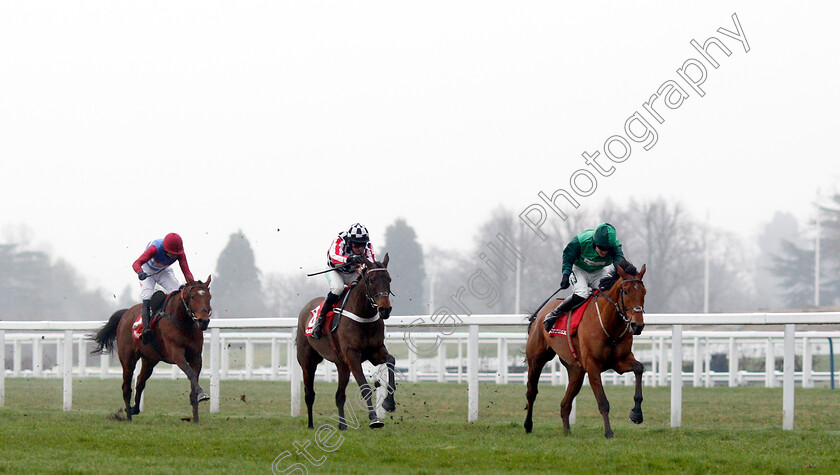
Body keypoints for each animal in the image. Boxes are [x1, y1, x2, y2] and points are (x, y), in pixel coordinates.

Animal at [91, 278, 213, 422]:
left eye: (209, 297)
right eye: (193, 296)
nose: (203, 321)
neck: (182, 321)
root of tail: (126, 313)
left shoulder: (196, 357)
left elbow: (194, 380)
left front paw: (196, 418)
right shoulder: (177, 354)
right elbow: (191, 374)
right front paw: (202, 395)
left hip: (150, 360)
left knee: (140, 381)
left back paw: (134, 408)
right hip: (128, 359)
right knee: (126, 387)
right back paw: (129, 416)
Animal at [296, 256, 398, 432]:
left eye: (389, 279)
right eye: (371, 280)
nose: (385, 309)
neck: (363, 316)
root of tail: (306, 308)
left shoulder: (375, 351)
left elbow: (391, 360)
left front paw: (389, 403)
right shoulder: (352, 355)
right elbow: (365, 387)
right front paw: (374, 419)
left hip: (341, 365)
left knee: (339, 396)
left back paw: (342, 425)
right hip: (308, 361)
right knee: (309, 394)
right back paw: (310, 425)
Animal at [524, 264, 648, 438]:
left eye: (644, 292)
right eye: (625, 291)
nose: (637, 325)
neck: (609, 325)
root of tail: (539, 315)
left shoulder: (620, 361)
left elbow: (639, 368)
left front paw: (636, 414)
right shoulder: (592, 365)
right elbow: (603, 401)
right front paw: (609, 432)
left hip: (576, 370)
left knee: (565, 403)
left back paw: (567, 431)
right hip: (536, 359)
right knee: (532, 392)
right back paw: (528, 425)